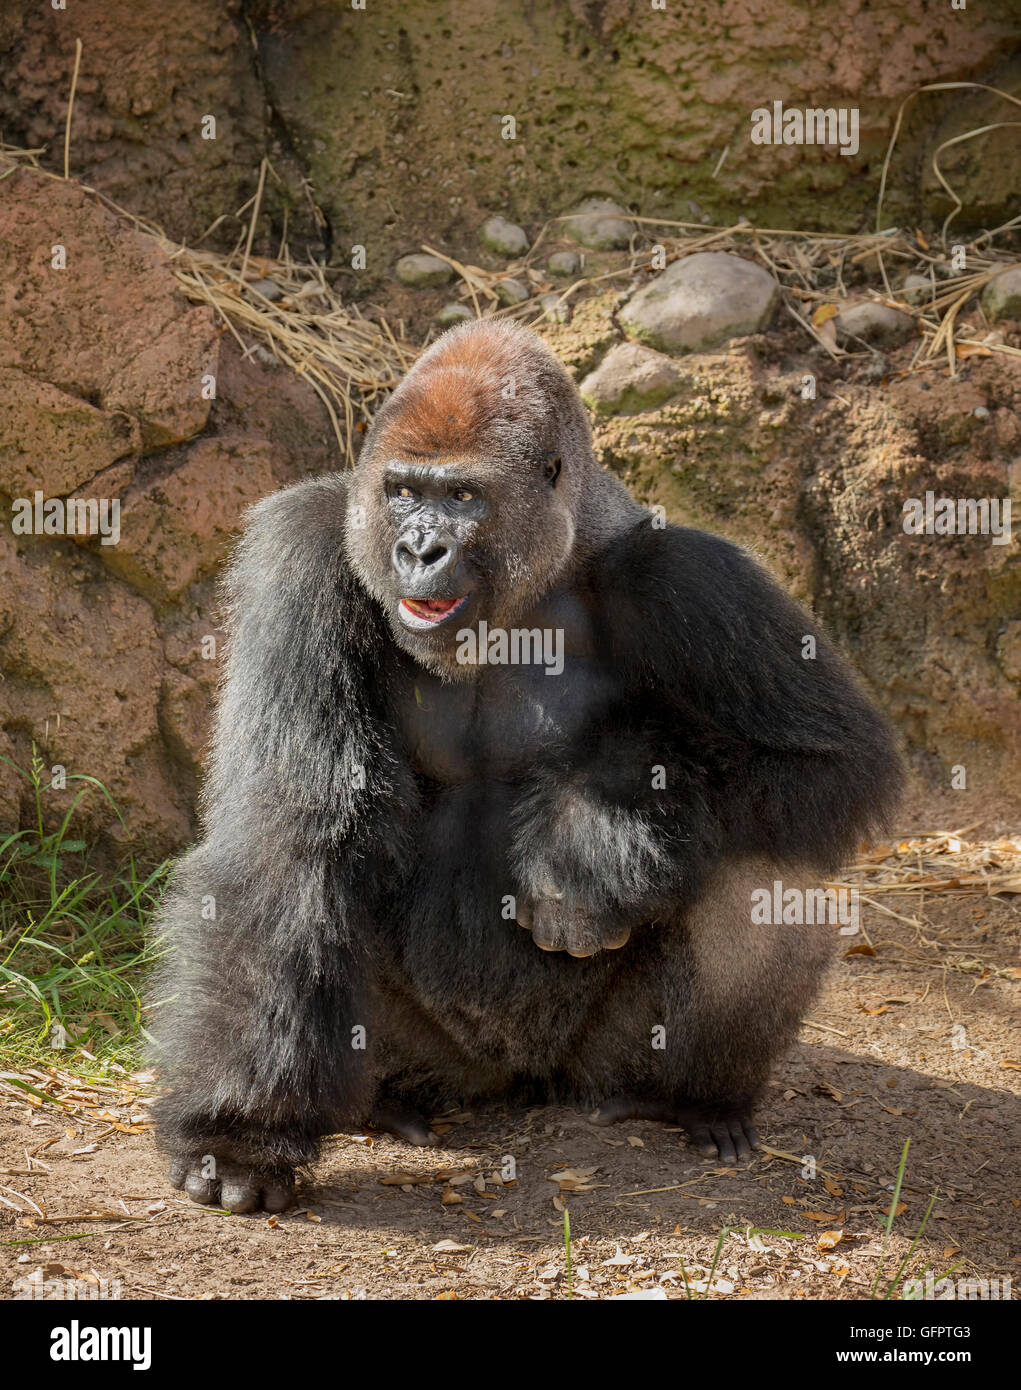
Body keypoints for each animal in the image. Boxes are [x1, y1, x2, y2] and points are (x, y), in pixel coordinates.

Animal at [153, 319, 900, 1212]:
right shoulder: (300, 550)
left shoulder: (686, 576)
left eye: (462, 498)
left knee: (760, 863)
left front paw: (588, 835)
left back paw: (692, 1100)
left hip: (592, 1063)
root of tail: (518, 1084)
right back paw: (383, 1105)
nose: (419, 549)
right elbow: (295, 826)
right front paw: (239, 1140)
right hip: (444, 1063)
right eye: (402, 491)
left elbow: (829, 763)